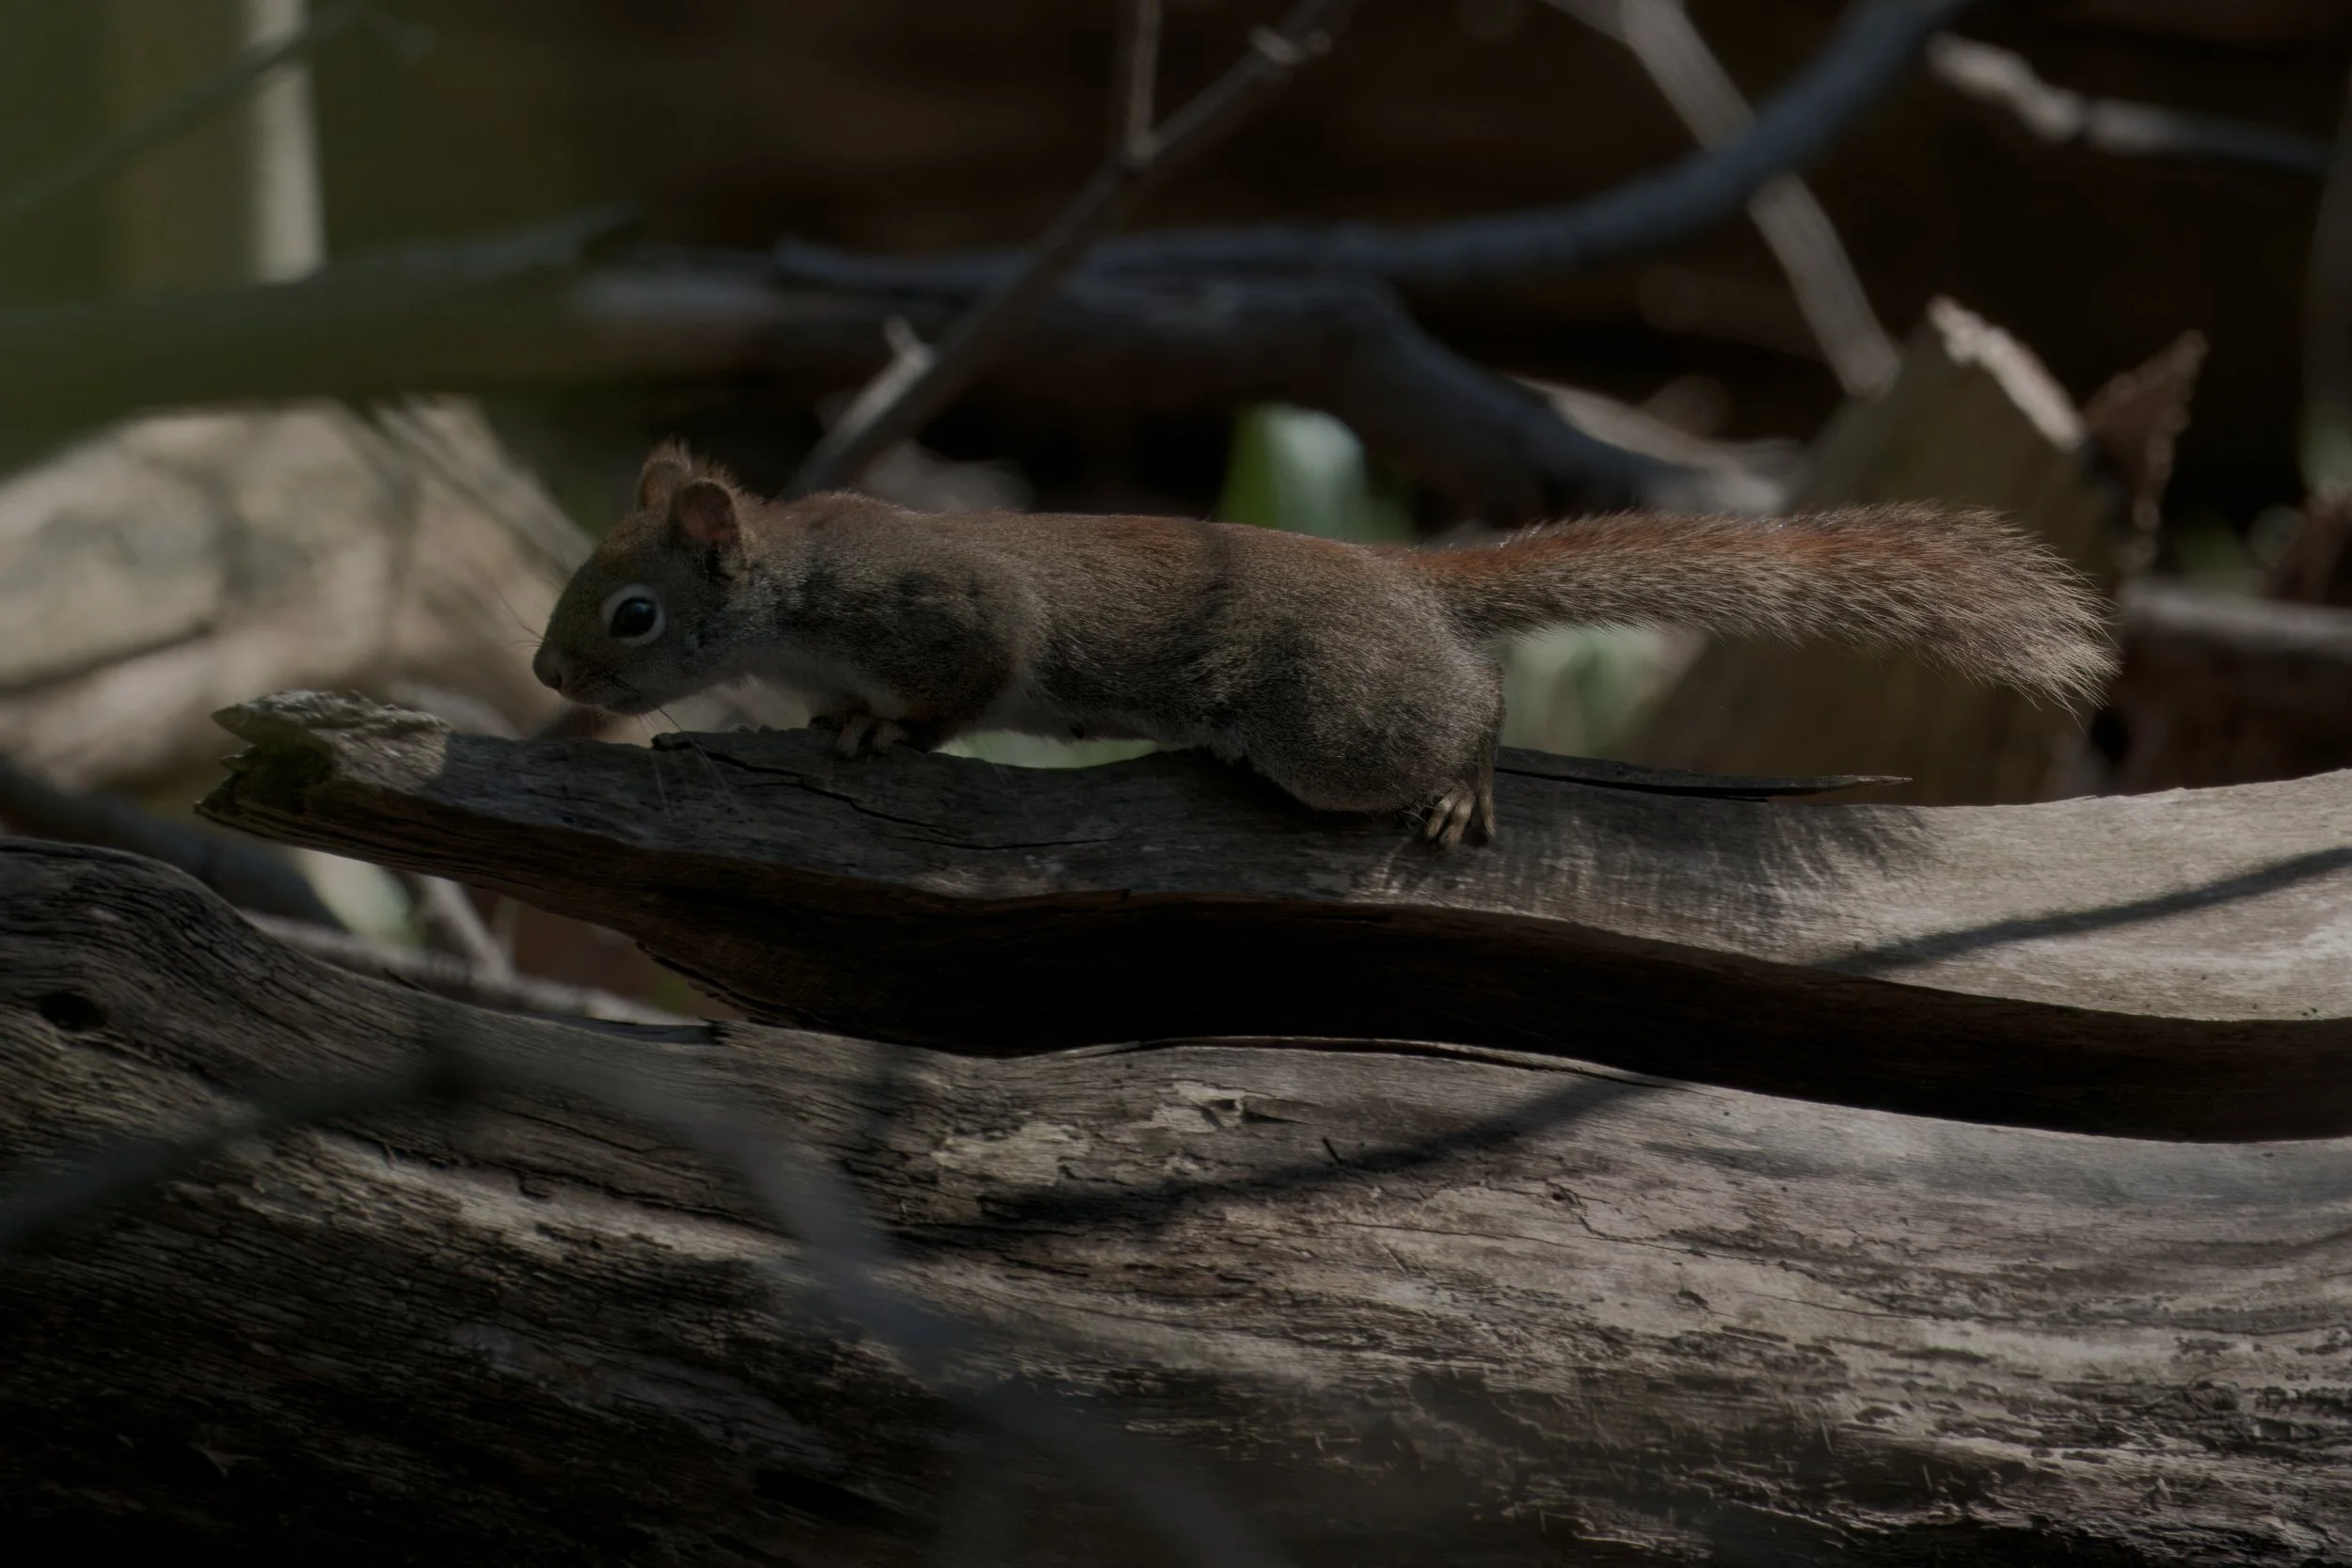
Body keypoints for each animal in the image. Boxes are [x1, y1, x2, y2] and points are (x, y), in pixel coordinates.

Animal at [533, 442, 2114, 847]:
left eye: (633, 612)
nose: (550, 675)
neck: (794, 591)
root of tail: (1398, 577)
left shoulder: (945, 612)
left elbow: (963, 680)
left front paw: (874, 728)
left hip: (1330, 718)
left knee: (1475, 697)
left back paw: (1467, 784)